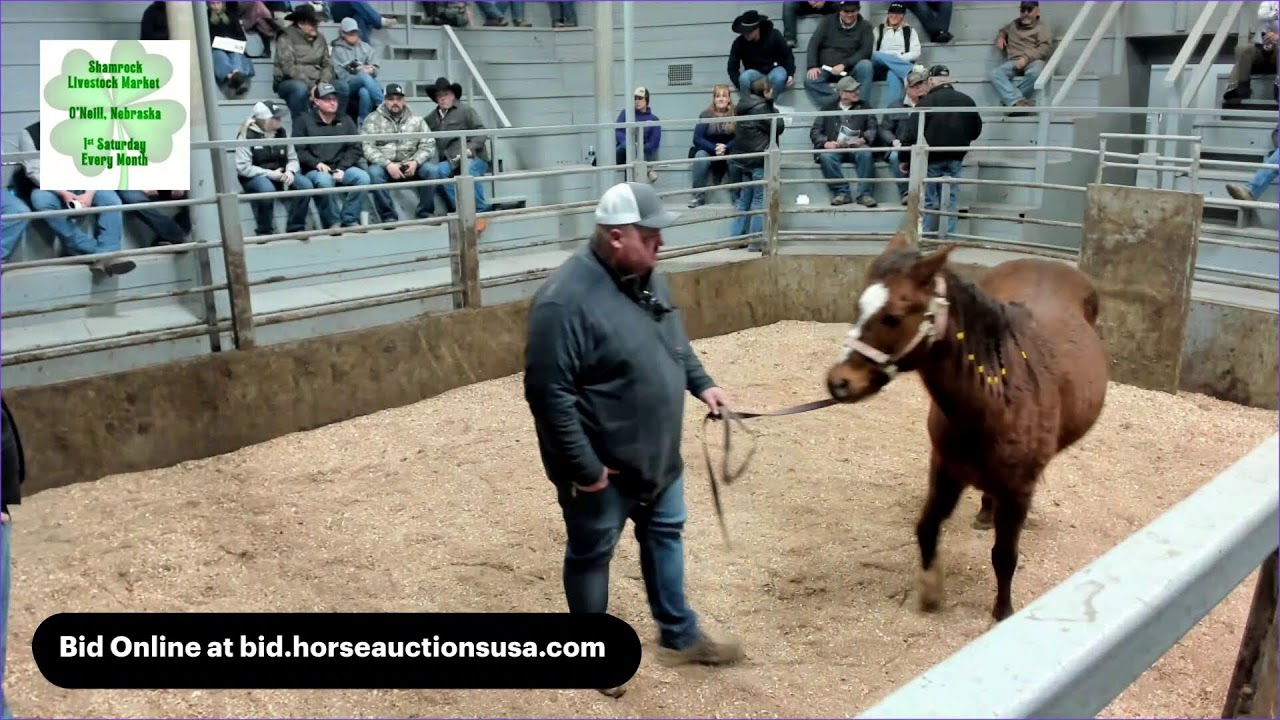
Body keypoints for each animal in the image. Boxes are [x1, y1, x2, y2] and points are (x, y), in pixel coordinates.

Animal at [824, 233, 1109, 622]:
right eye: (858, 307)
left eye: (893, 317)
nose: (839, 383)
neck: (997, 397)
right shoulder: (946, 469)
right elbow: (926, 528)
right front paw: (930, 594)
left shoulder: (1016, 489)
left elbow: (1004, 555)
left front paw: (1003, 612)